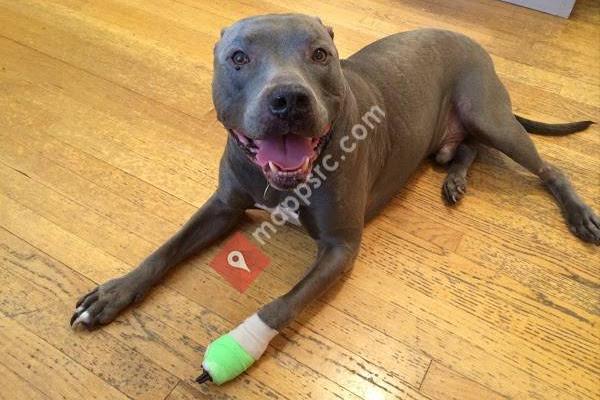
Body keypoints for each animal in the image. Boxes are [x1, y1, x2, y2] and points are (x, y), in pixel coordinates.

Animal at [70, 13, 599, 383]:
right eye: (238, 58)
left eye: (321, 54)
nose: (288, 98)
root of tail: (469, 39)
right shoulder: (222, 207)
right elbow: (168, 248)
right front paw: (114, 292)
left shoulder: (340, 249)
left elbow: (279, 305)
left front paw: (238, 348)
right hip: (460, 131)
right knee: (466, 147)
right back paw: (455, 179)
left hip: (488, 114)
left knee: (547, 168)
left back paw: (580, 215)